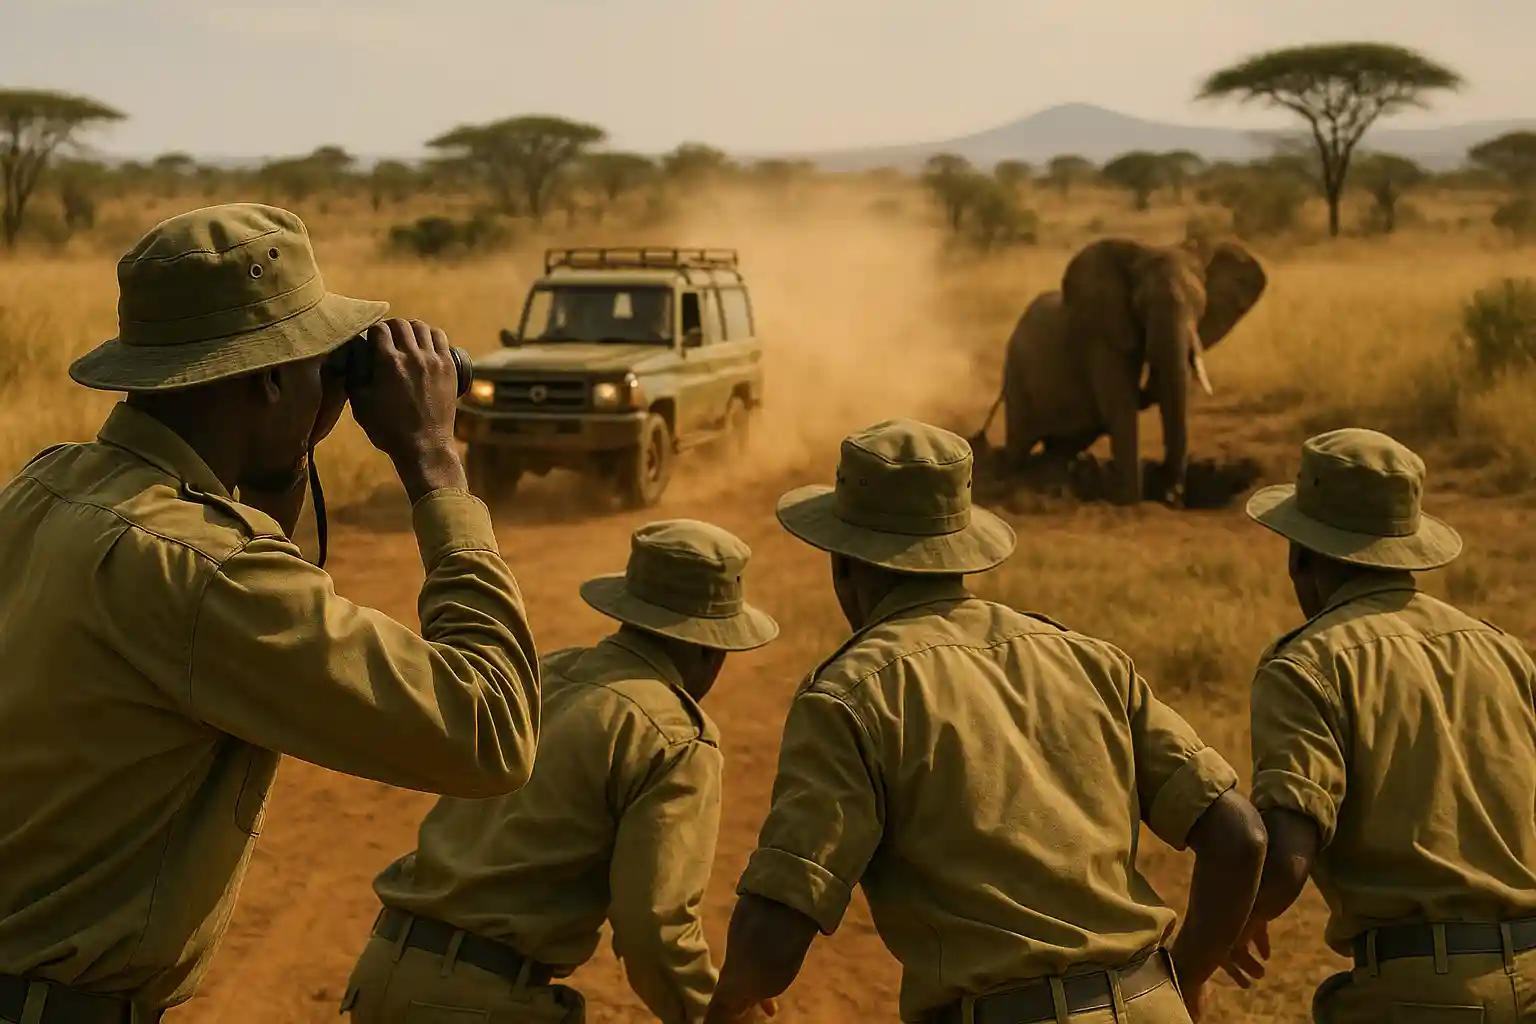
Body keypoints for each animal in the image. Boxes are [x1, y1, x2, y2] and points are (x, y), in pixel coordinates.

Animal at [972, 236, 1267, 506]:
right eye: (1139, 304)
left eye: (1201, 305)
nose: (1172, 495)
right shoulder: (1103, 339)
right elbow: (1121, 405)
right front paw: (1128, 502)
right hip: (1017, 377)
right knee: (1019, 444)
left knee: (1062, 446)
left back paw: (1054, 487)